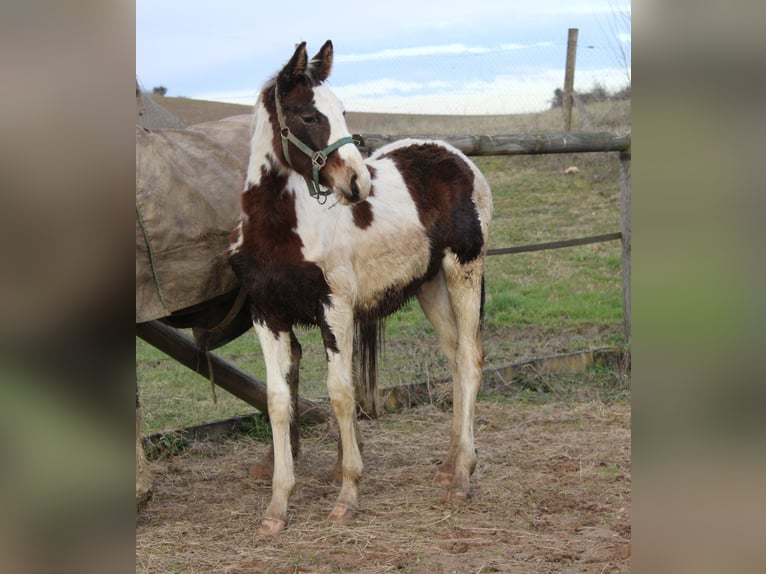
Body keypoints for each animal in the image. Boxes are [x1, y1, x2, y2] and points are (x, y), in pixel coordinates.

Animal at [228, 40, 496, 536]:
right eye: (309, 115)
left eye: (343, 111)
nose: (358, 184)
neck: (280, 230)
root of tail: (460, 158)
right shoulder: (266, 315)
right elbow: (277, 400)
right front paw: (277, 508)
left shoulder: (335, 306)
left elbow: (341, 393)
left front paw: (348, 494)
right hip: (429, 285)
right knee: (453, 357)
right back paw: (449, 464)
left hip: (463, 269)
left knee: (470, 360)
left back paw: (463, 478)